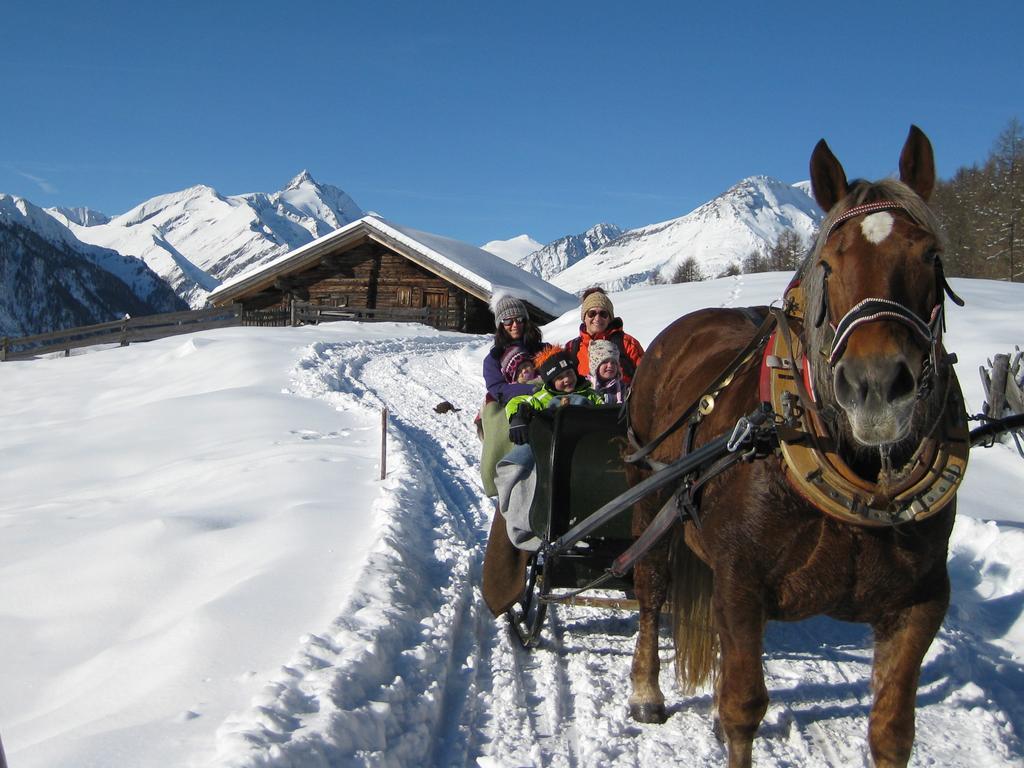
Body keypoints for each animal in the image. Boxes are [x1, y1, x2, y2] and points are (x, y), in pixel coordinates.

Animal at [622, 128, 966, 768]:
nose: (876, 386)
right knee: (651, 591)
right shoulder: (741, 584)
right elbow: (742, 709)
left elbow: (891, 732)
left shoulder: (922, 603)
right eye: (828, 264)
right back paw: (647, 691)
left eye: (931, 257)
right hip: (647, 500)